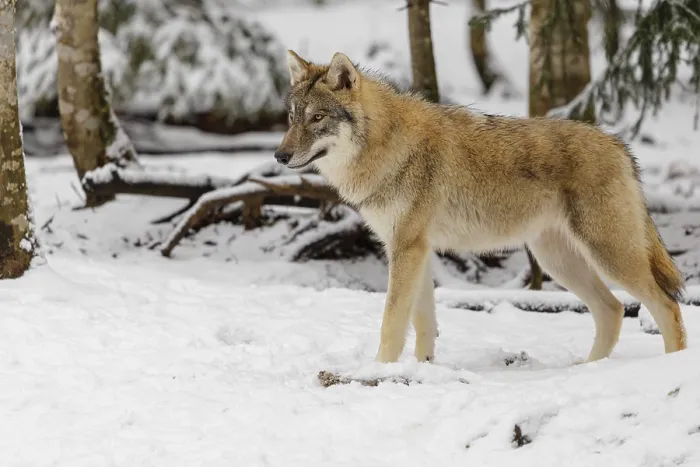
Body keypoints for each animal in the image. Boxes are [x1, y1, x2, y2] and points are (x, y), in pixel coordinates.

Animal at [274, 50, 687, 364]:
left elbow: (392, 322)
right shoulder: (415, 250)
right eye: (292, 117)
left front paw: (377, 373)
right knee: (613, 310)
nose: (279, 156)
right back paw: (588, 370)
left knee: (666, 306)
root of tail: (619, 146)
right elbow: (423, 324)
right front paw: (422, 370)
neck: (388, 144)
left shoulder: (406, 250)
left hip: (608, 256)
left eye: (317, 118)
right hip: (558, 261)